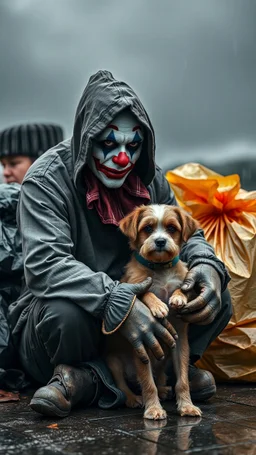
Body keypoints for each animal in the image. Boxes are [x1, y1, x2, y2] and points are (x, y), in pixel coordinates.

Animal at [105, 204, 202, 420]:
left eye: (171, 228)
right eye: (148, 228)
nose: (160, 241)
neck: (160, 268)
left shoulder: (180, 339)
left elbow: (182, 380)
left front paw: (187, 406)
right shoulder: (141, 344)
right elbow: (145, 291)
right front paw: (154, 409)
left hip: (163, 358)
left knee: (159, 376)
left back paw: (164, 389)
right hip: (115, 362)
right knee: (124, 385)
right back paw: (133, 398)